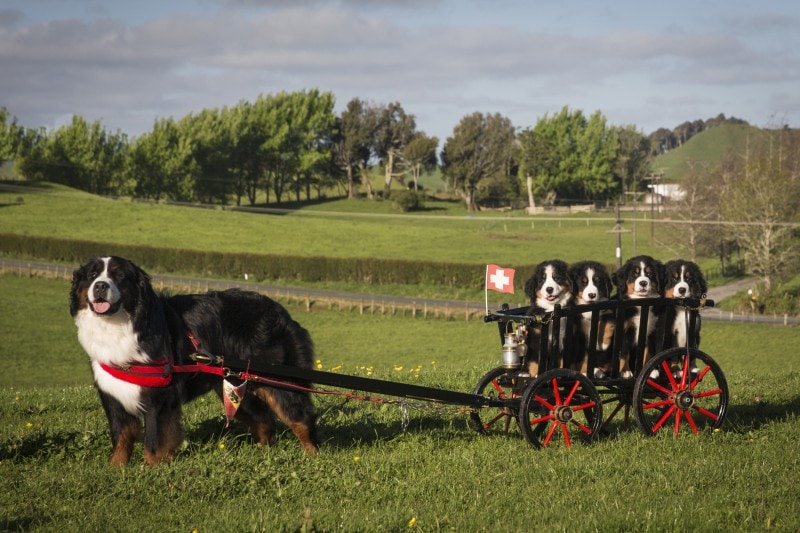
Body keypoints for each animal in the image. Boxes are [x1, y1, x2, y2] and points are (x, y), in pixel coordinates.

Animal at [69, 256, 318, 464]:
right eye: (92, 275)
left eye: (119, 276)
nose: (100, 286)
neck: (120, 326)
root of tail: (280, 310)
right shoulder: (113, 395)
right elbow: (121, 437)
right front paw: (116, 468)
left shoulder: (160, 397)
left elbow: (155, 442)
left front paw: (150, 470)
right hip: (237, 389)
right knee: (265, 420)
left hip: (278, 383)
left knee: (301, 418)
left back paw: (312, 456)